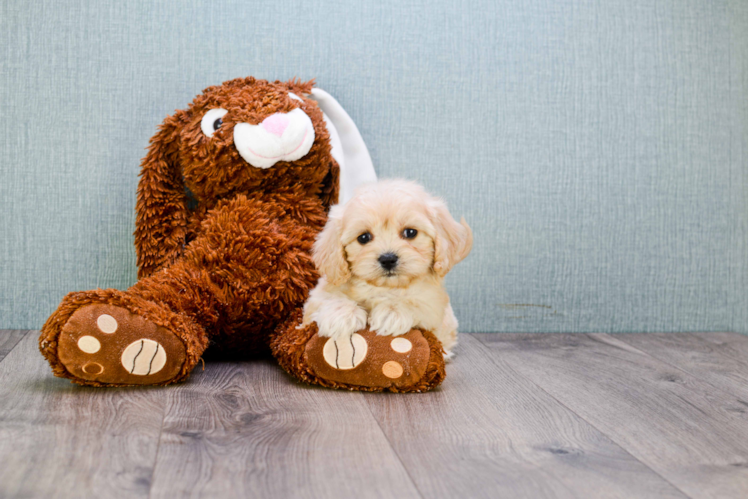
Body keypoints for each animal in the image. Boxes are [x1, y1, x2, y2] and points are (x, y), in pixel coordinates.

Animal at [300, 179, 470, 356]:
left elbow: (417, 303)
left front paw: (391, 313)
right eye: (363, 237)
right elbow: (328, 298)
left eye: (410, 232)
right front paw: (341, 315)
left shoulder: (434, 307)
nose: (388, 259)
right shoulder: (317, 296)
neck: (383, 287)